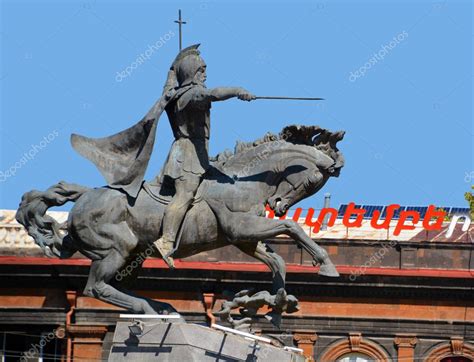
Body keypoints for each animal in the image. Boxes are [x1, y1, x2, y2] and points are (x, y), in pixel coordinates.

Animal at [16, 125, 344, 316]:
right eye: (312, 182)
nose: (279, 205)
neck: (241, 179)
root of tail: (85, 195)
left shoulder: (245, 239)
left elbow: (277, 261)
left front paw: (276, 298)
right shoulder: (241, 228)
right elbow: (292, 227)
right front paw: (325, 265)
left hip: (131, 257)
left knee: (113, 286)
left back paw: (158, 307)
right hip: (117, 249)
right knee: (95, 288)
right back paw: (150, 308)